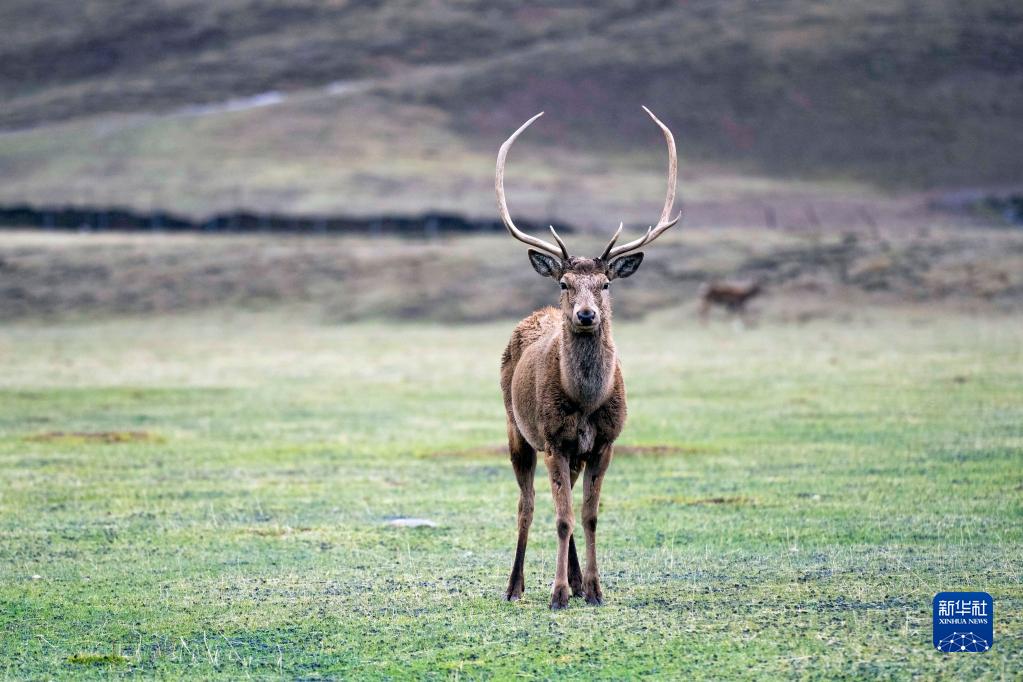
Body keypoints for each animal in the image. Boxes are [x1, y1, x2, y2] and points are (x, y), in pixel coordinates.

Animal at [495, 109, 679, 609]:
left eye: (606, 283)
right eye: (565, 283)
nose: (585, 314)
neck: (586, 401)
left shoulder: (604, 443)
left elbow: (590, 516)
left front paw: (594, 589)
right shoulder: (554, 439)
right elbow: (561, 518)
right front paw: (557, 593)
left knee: (568, 505)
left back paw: (577, 581)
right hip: (516, 429)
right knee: (528, 504)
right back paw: (515, 586)